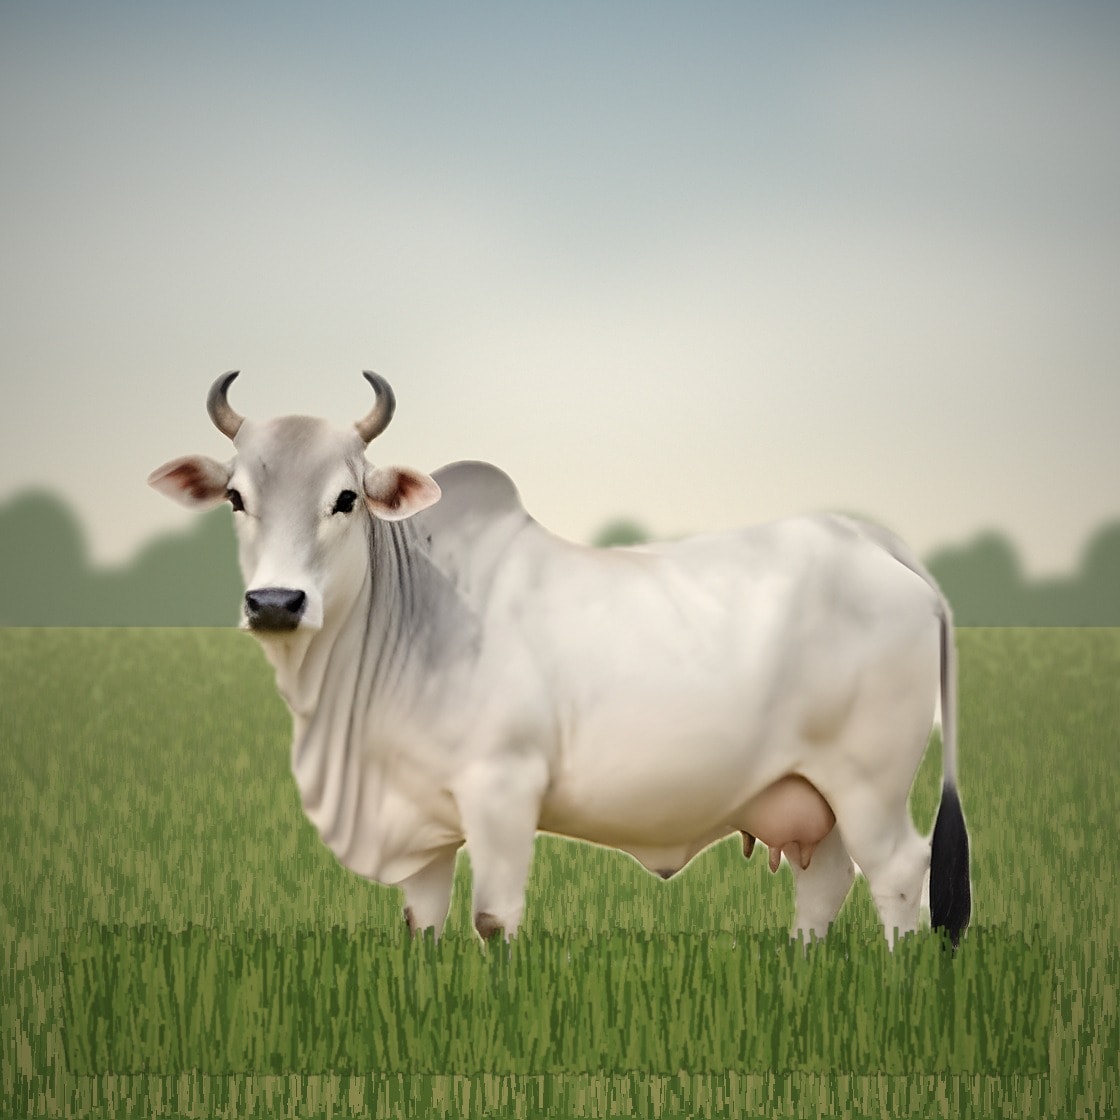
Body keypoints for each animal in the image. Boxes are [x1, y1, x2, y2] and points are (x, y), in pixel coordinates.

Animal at [149, 371, 971, 947]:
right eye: (235, 498)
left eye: (346, 498)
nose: (275, 603)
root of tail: (873, 540)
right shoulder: (420, 821)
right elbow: (423, 924)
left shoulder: (503, 792)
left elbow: (494, 920)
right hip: (813, 794)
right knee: (824, 885)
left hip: (869, 785)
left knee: (902, 874)